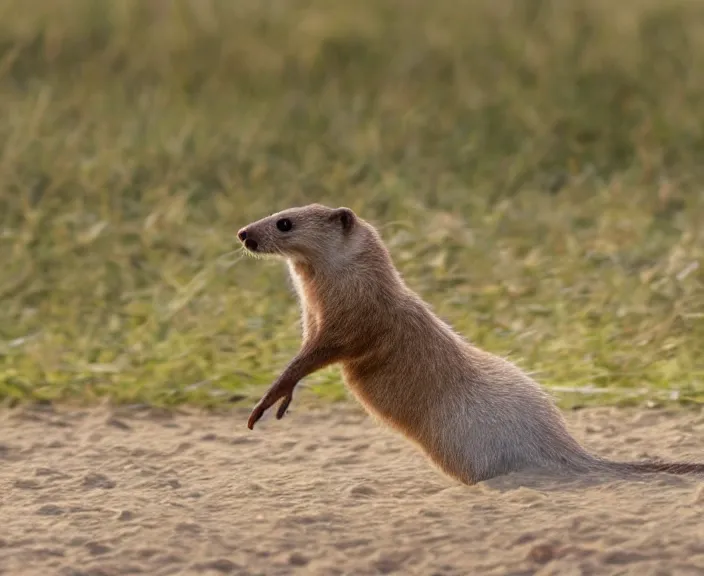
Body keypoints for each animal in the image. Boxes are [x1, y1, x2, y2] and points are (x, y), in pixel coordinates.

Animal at [238, 205, 704, 484]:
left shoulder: (347, 329)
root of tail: (565, 445)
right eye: (274, 211)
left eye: (284, 222)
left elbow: (302, 364)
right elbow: (300, 361)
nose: (243, 233)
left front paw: (268, 401)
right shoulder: (313, 326)